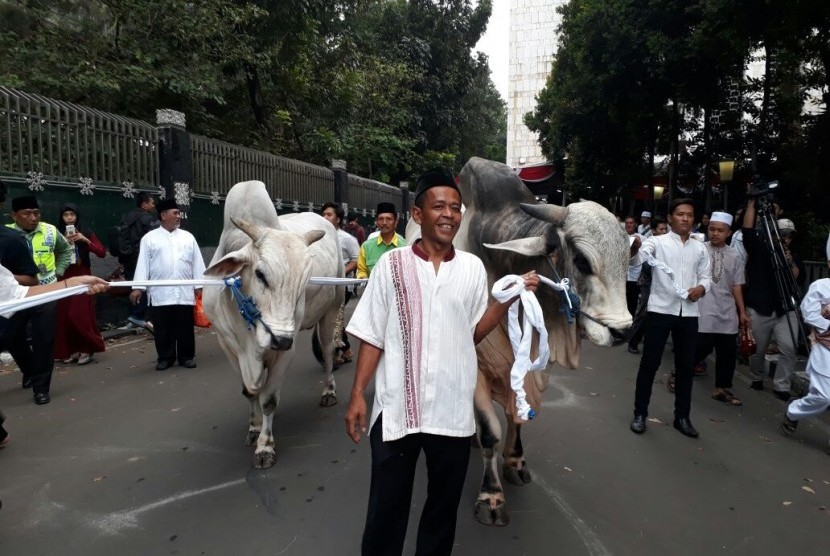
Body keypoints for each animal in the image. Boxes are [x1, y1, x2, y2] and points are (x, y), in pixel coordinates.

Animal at [203, 180, 342, 466]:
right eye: (260, 274)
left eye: (305, 280)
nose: (280, 338)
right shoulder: (229, 346)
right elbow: (249, 392)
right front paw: (254, 429)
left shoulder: (286, 351)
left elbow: (268, 399)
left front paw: (265, 447)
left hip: (333, 308)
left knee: (328, 352)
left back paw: (328, 392)